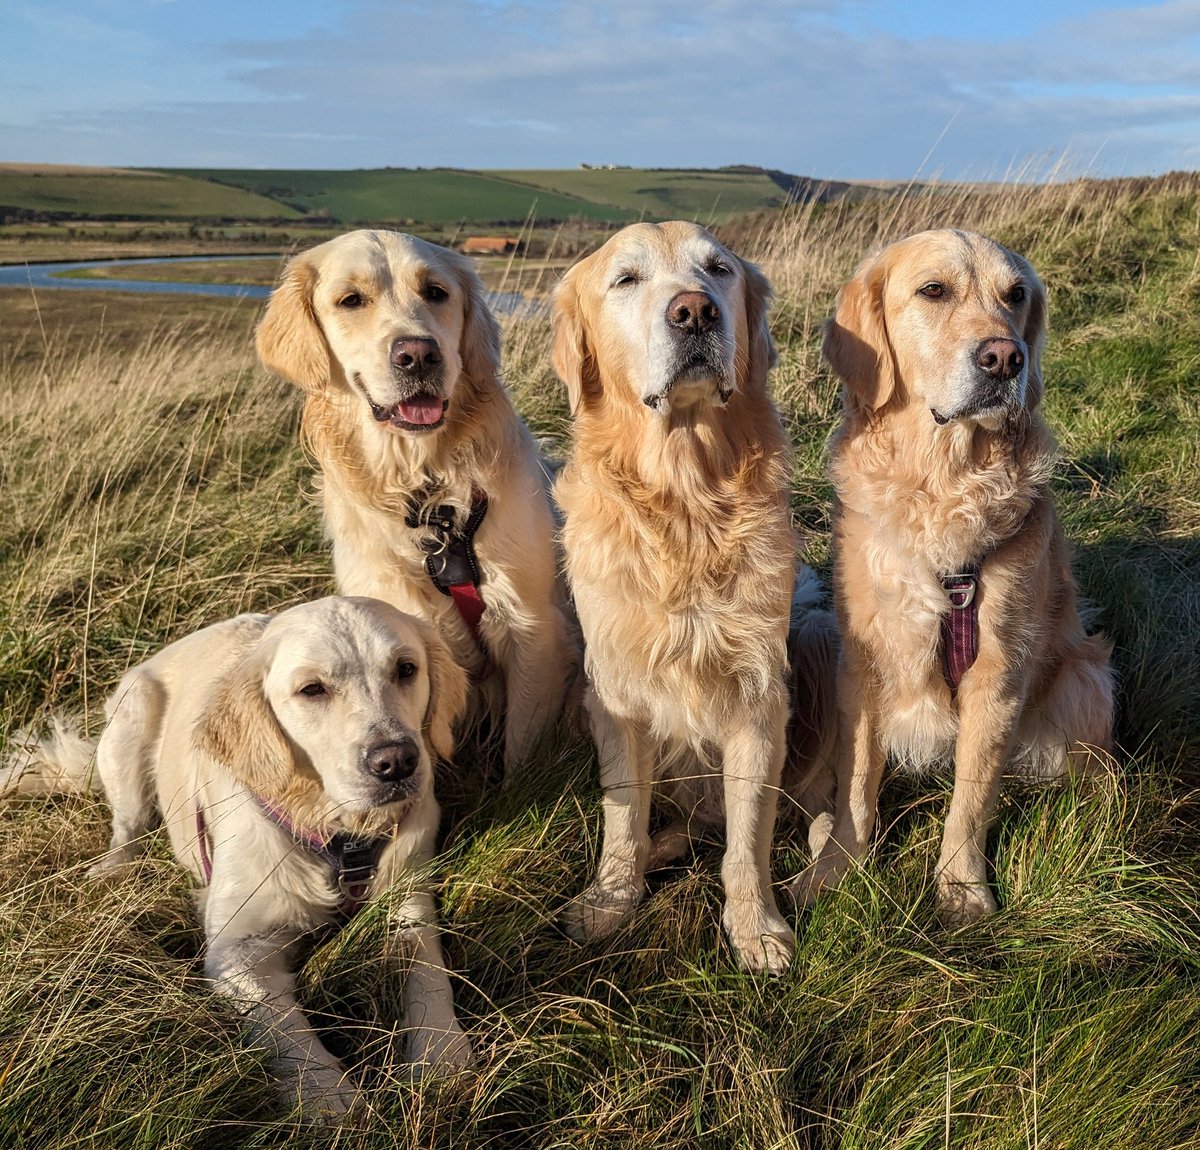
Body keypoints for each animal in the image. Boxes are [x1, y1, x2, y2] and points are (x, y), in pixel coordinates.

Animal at [4, 597, 472, 1118]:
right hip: (131, 722)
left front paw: (440, 1052)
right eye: (312, 689)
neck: (335, 832)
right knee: (126, 826)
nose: (396, 761)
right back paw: (113, 870)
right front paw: (328, 1098)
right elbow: (286, 1031)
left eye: (406, 669)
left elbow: (426, 968)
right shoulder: (234, 952)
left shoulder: (408, 897)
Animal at [258, 229, 580, 777]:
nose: (418, 355)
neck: (426, 490)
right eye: (351, 300)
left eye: (435, 292)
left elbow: (522, 749)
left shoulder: (535, 626)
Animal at [549, 218, 835, 969]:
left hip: (816, 637)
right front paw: (610, 900)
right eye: (626, 279)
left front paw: (756, 927)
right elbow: (623, 817)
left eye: (719, 270)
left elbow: (749, 838)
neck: (686, 501)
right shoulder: (614, 692)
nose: (695, 312)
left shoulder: (760, 697)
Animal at [796, 229, 1113, 921]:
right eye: (933, 290)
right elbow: (857, 782)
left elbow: (971, 798)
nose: (1005, 357)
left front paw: (962, 889)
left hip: (1087, 676)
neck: (944, 483)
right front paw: (837, 868)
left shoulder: (998, 672)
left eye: (1016, 295)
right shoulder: (862, 663)